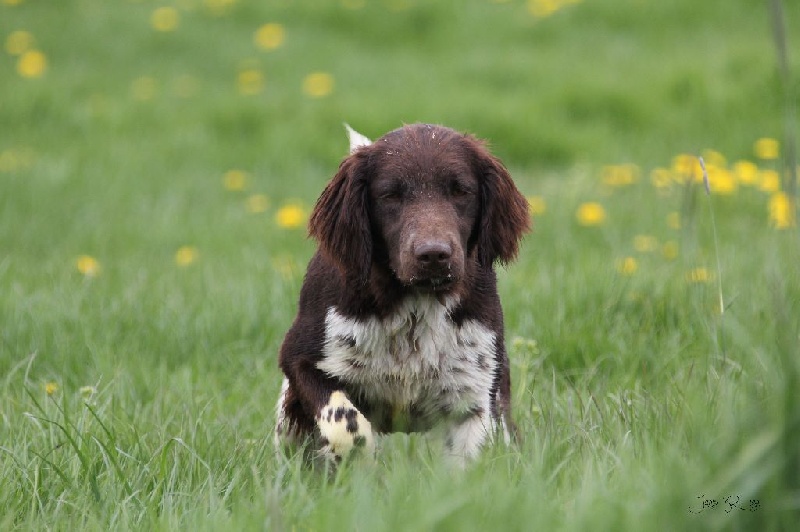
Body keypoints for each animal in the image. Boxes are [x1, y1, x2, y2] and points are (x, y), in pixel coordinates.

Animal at [276, 122, 532, 464]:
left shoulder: (475, 396)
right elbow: (347, 425)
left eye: (461, 191)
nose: (434, 254)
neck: (413, 305)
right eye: (390, 195)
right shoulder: (300, 359)